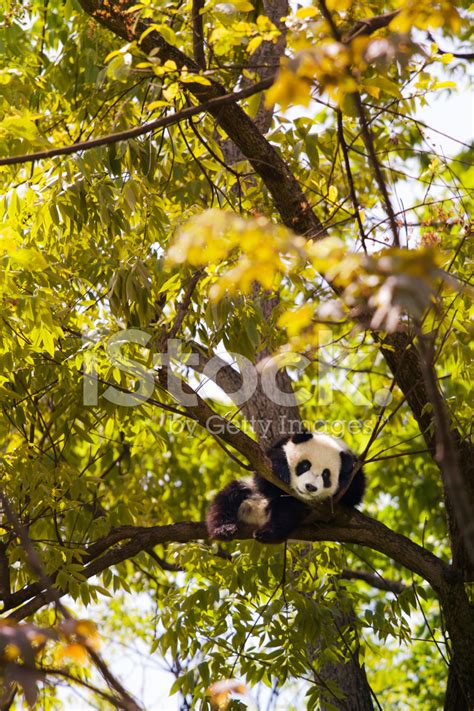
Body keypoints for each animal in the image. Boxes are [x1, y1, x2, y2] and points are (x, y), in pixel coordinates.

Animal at [206, 434, 364, 544]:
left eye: (326, 474)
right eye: (305, 465)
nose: (310, 487)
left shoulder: (355, 472)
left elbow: (354, 493)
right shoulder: (276, 448)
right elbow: (265, 472)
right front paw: (281, 470)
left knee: (286, 512)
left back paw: (266, 533)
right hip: (250, 490)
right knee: (228, 497)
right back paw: (224, 529)